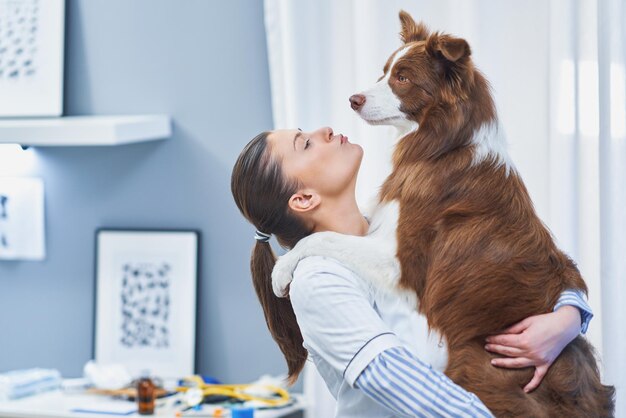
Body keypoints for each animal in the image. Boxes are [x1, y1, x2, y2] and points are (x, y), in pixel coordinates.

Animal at [272, 10, 608, 418]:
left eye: (402, 78)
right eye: (383, 72)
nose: (353, 99)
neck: (445, 145)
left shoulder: (403, 264)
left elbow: (323, 237)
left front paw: (280, 270)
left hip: (474, 365)